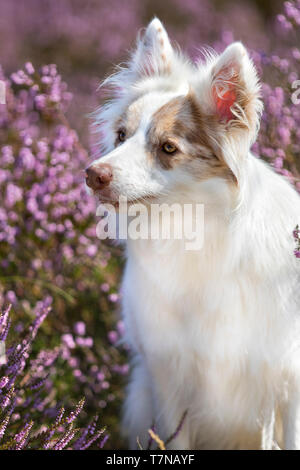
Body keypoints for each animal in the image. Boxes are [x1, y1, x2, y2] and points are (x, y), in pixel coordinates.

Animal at [86, 18, 300, 450]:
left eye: (168, 148)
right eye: (121, 136)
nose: (92, 174)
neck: (194, 229)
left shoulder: (285, 379)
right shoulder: (169, 377)